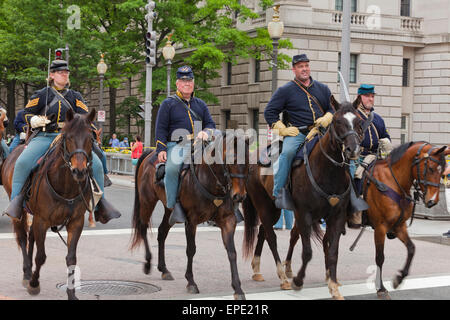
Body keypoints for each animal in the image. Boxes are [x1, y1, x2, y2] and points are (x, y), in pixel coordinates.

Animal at [1, 109, 99, 300]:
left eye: (90, 138)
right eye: (68, 137)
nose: (80, 171)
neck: (66, 185)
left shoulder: (75, 222)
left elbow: (71, 258)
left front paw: (71, 293)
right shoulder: (42, 220)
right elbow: (41, 256)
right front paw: (34, 284)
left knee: (30, 236)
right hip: (19, 210)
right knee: (23, 237)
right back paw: (27, 273)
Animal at [130, 131, 251, 300]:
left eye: (248, 160)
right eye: (231, 158)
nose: (239, 196)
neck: (209, 180)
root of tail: (150, 153)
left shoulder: (228, 220)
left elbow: (232, 252)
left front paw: (238, 288)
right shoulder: (191, 221)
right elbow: (191, 249)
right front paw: (191, 282)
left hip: (170, 210)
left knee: (162, 232)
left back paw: (164, 269)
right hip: (147, 201)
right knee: (142, 227)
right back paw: (148, 263)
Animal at [243, 95, 366, 300]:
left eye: (358, 122)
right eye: (337, 121)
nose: (353, 149)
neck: (328, 171)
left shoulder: (336, 217)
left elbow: (332, 251)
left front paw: (334, 286)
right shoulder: (304, 213)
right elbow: (307, 251)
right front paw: (298, 281)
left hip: (274, 210)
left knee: (263, 232)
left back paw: (257, 269)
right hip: (264, 206)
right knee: (271, 237)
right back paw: (283, 277)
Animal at [354, 141, 448, 298]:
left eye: (443, 172)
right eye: (430, 168)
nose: (432, 201)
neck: (392, 182)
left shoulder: (399, 226)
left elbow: (411, 248)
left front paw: (399, 278)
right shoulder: (380, 227)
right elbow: (380, 257)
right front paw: (381, 288)